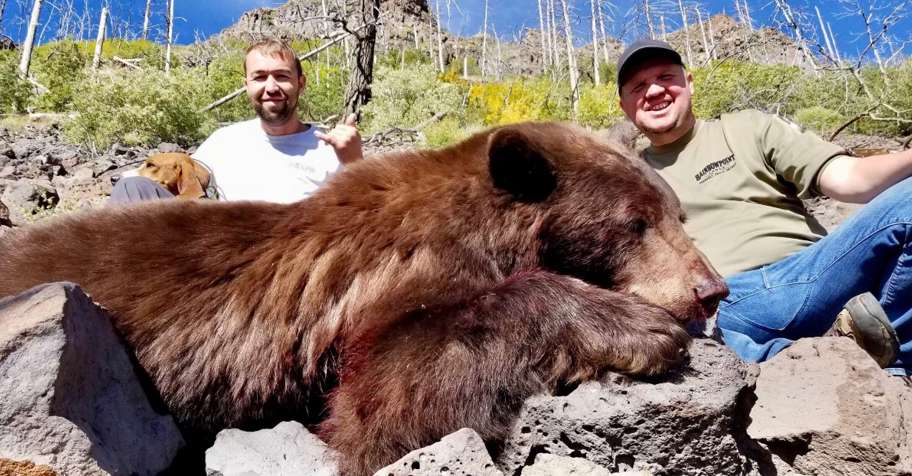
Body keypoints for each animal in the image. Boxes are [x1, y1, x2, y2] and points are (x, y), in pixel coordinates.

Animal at [0, 122, 727, 474]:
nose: (710, 290)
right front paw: (640, 329)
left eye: (676, 213)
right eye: (635, 223)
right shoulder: (387, 278)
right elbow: (386, 404)